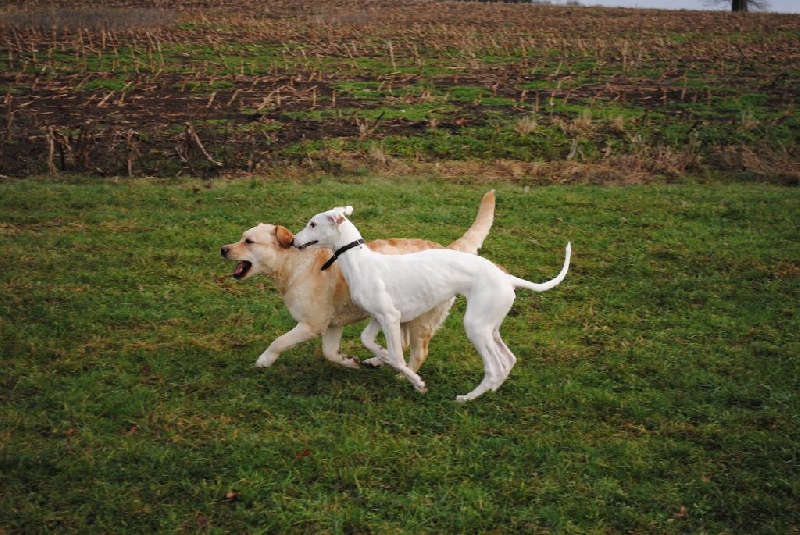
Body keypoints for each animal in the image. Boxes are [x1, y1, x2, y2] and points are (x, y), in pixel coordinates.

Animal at [220, 191, 495, 371]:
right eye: (241, 237)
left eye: (249, 241)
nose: (223, 249)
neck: (294, 263)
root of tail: (449, 249)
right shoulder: (333, 325)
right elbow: (329, 352)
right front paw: (347, 361)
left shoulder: (313, 324)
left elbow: (279, 341)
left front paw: (264, 360)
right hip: (406, 315)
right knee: (402, 344)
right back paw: (378, 360)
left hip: (422, 321)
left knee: (418, 352)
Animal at [292, 204, 571, 401]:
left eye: (312, 224)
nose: (293, 241)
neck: (362, 262)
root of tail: (508, 278)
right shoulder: (382, 317)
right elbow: (370, 342)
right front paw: (380, 357)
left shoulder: (390, 317)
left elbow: (397, 357)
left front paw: (417, 383)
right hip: (490, 326)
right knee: (508, 360)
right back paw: (490, 391)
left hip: (475, 327)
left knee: (494, 367)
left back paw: (467, 398)